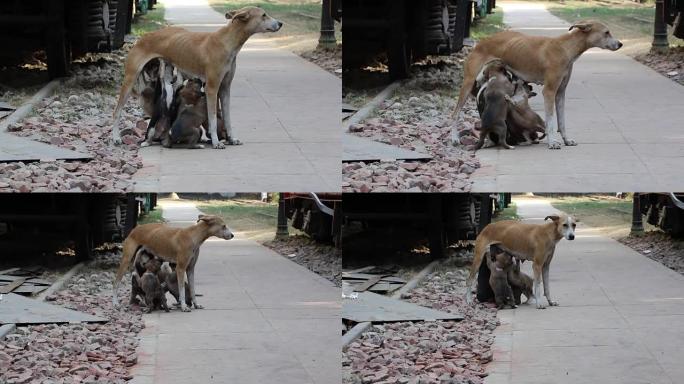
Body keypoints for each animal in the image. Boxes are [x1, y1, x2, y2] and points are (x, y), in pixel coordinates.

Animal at [111, 7, 280, 150]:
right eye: (264, 15)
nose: (280, 23)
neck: (227, 41)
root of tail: (142, 37)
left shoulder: (225, 89)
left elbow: (227, 118)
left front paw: (232, 139)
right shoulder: (211, 88)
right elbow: (212, 118)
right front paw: (216, 142)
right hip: (129, 80)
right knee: (117, 111)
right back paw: (116, 138)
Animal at [454, 19, 620, 149]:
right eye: (606, 32)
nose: (620, 44)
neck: (565, 48)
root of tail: (480, 41)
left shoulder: (560, 93)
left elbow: (561, 121)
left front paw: (566, 140)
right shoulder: (549, 91)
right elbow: (550, 121)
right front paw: (552, 142)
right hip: (468, 84)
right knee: (455, 113)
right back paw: (455, 139)